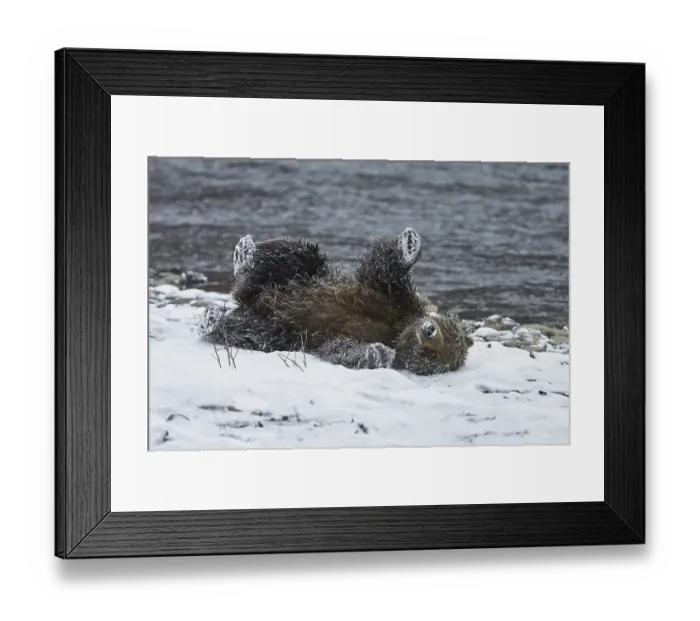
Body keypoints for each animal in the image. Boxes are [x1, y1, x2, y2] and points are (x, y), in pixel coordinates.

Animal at [196, 227, 473, 375]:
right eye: (445, 330)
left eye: (434, 354)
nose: (429, 331)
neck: (397, 327)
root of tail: (248, 299)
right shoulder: (394, 296)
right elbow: (384, 269)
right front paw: (409, 246)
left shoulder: (337, 337)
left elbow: (345, 351)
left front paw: (377, 353)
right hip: (307, 275)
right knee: (295, 253)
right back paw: (244, 254)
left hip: (277, 330)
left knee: (245, 331)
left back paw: (212, 320)